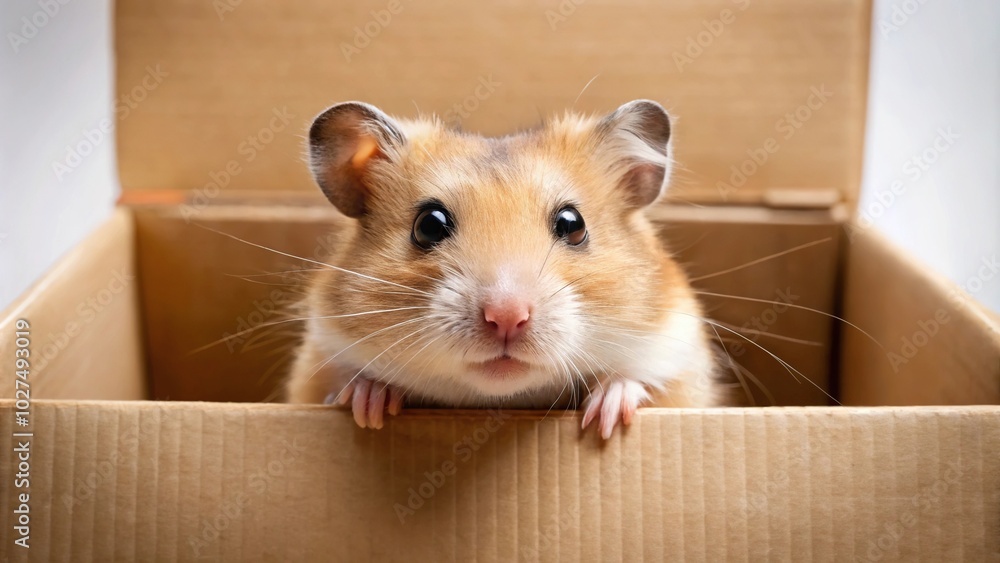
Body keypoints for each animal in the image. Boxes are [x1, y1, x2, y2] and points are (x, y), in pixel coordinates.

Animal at [284, 100, 721, 438]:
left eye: (573, 224)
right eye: (429, 225)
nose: (506, 318)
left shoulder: (678, 354)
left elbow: (638, 379)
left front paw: (606, 417)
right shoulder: (317, 359)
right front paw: (368, 404)